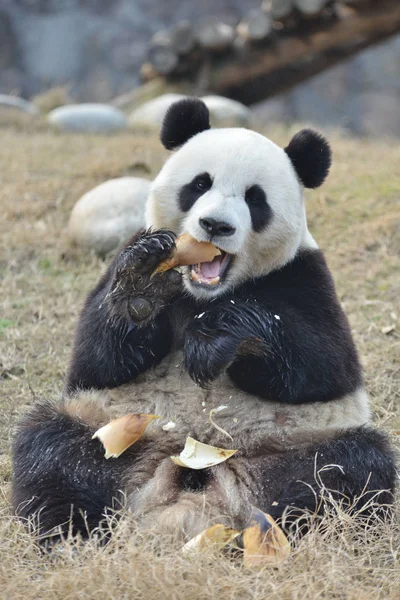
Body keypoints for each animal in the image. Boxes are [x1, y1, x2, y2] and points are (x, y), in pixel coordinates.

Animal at [10, 99, 396, 544]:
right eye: (199, 184)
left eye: (255, 199)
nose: (216, 225)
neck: (202, 294)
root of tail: (192, 487)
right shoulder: (123, 262)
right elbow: (96, 358)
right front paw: (141, 285)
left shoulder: (305, 276)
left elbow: (323, 364)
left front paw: (214, 342)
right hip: (111, 432)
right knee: (54, 449)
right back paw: (71, 533)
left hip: (295, 445)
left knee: (347, 468)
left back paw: (300, 528)